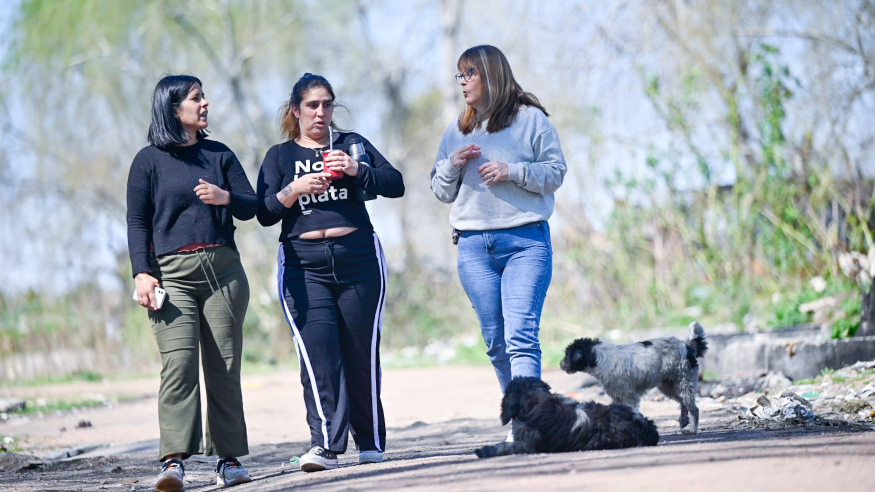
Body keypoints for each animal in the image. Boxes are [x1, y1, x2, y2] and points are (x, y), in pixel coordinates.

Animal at [560, 322, 712, 434]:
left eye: (567, 355)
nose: (560, 364)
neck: (598, 356)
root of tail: (688, 347)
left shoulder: (629, 397)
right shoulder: (617, 396)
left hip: (683, 384)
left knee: (694, 409)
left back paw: (691, 429)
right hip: (670, 386)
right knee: (683, 403)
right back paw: (683, 421)